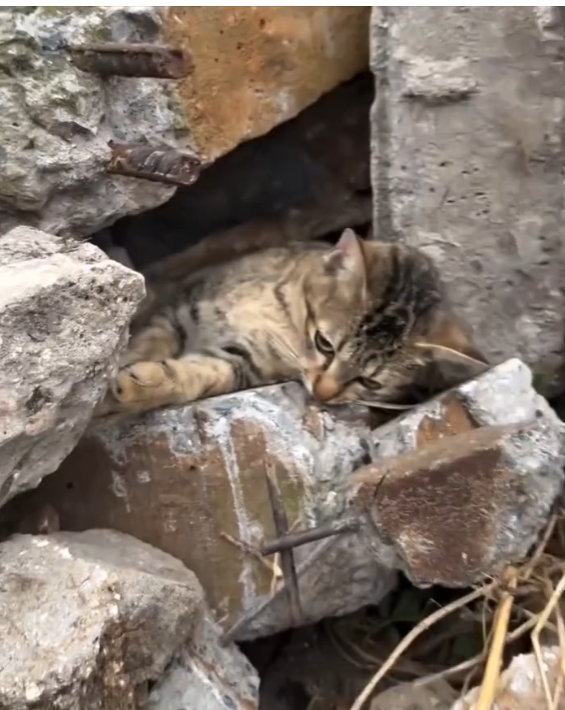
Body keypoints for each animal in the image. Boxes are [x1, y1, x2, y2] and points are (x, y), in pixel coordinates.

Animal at [95, 228, 488, 417]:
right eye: (325, 344)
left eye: (370, 382)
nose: (324, 394)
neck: (279, 314)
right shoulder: (181, 306)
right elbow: (148, 339)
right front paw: (123, 366)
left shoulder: (242, 364)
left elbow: (200, 373)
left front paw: (141, 386)